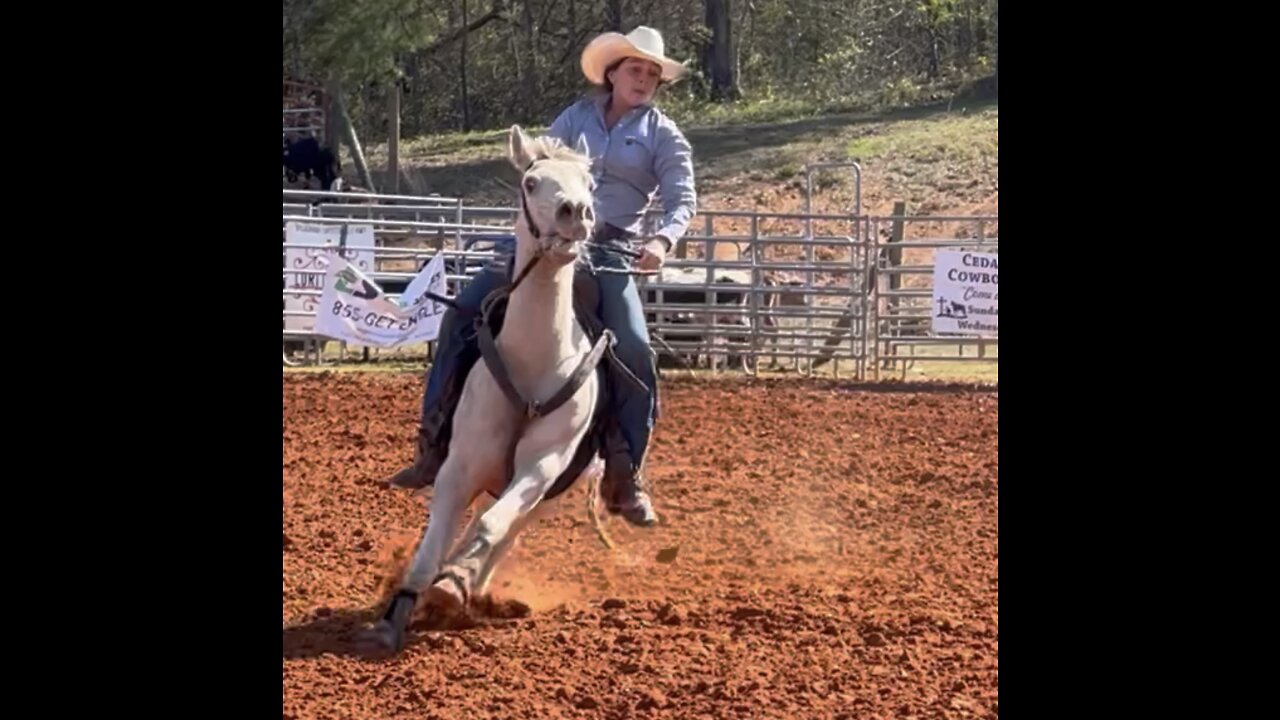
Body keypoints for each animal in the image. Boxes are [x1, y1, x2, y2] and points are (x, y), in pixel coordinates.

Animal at [363, 126, 611, 653]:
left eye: (590, 184)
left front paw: (454, 583)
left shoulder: (543, 465)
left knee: (504, 528)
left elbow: (493, 525)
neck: (535, 358)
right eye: (532, 182)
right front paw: (397, 613)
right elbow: (431, 546)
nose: (576, 212)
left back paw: (466, 583)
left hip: (548, 494)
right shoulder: (460, 464)